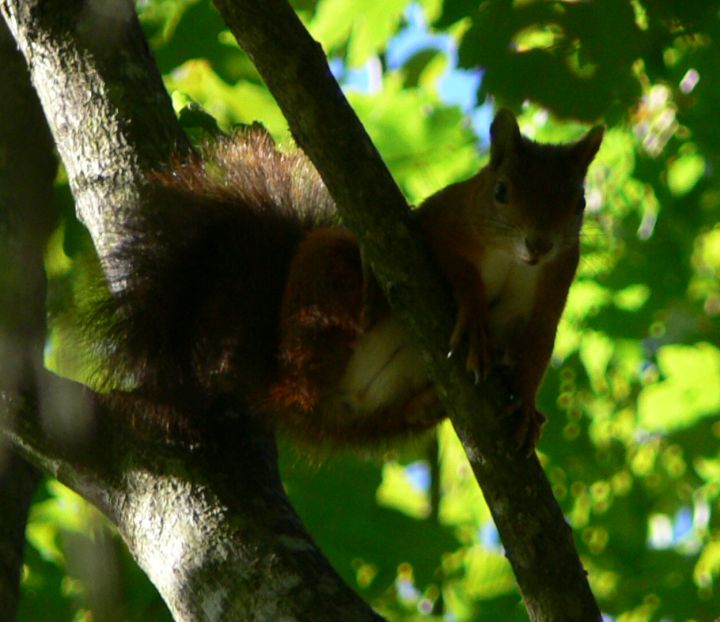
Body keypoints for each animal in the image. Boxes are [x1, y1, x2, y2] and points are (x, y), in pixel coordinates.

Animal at [100, 109, 600, 450]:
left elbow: (538, 346)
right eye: (501, 191)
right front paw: (475, 314)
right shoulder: (441, 223)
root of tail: (288, 395)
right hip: (324, 282)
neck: (515, 262)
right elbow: (454, 269)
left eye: (579, 202)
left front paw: (527, 407)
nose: (539, 244)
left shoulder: (553, 288)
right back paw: (367, 299)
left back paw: (425, 403)